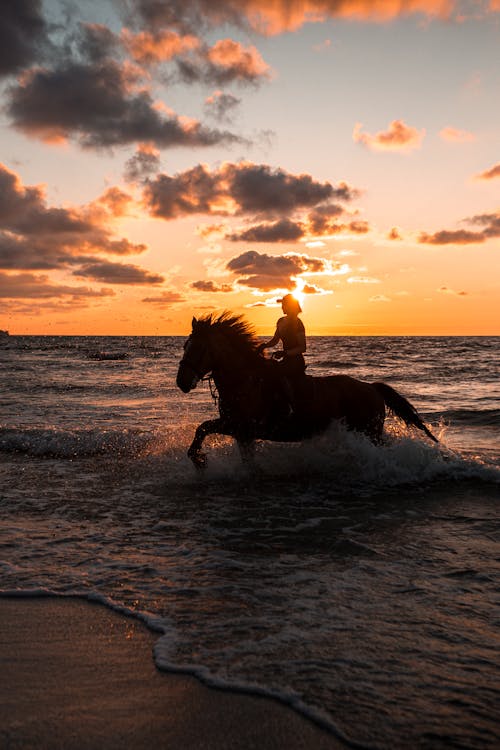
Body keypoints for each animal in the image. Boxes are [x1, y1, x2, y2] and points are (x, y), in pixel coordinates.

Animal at [176, 312, 438, 470]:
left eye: (198, 348)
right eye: (185, 345)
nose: (181, 382)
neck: (244, 381)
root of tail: (371, 388)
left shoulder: (242, 427)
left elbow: (203, 429)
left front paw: (199, 459)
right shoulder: (239, 431)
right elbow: (204, 430)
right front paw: (199, 459)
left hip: (369, 431)